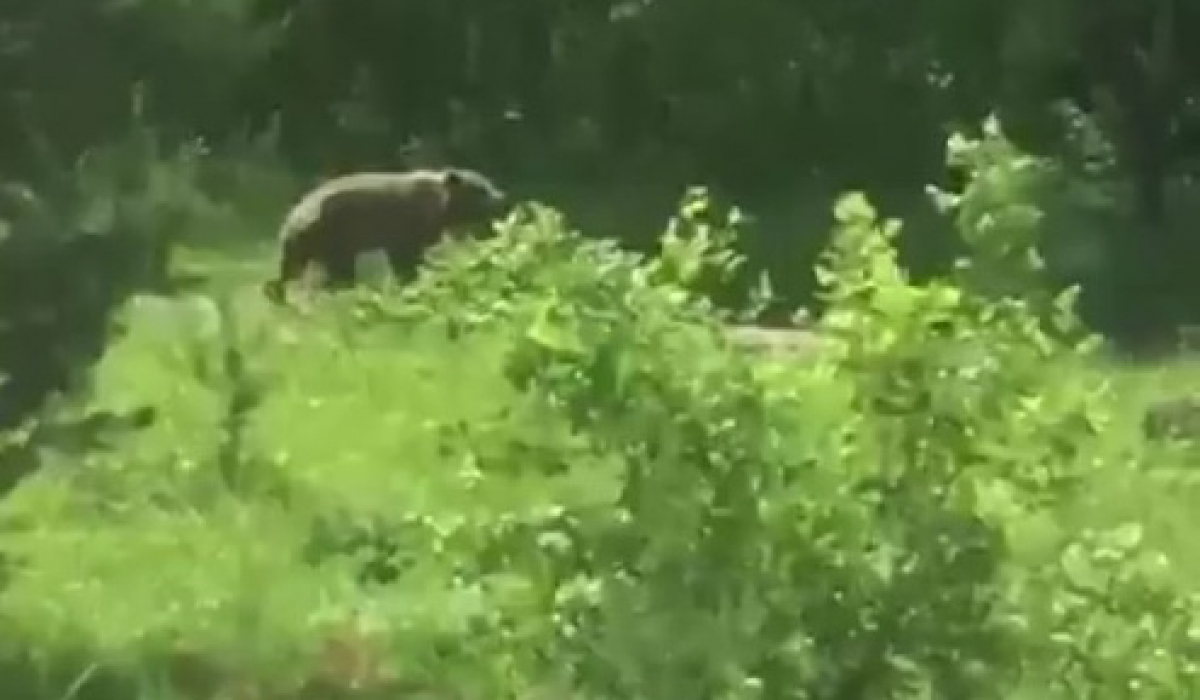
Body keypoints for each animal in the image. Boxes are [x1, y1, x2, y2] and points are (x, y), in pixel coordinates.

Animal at [262, 169, 506, 303]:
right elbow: (407, 260)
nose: (501, 198)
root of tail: (295, 215)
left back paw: (279, 294)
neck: (441, 209)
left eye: (488, 183)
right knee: (334, 273)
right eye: (481, 189)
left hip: (303, 243)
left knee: (290, 270)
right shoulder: (409, 225)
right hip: (335, 235)